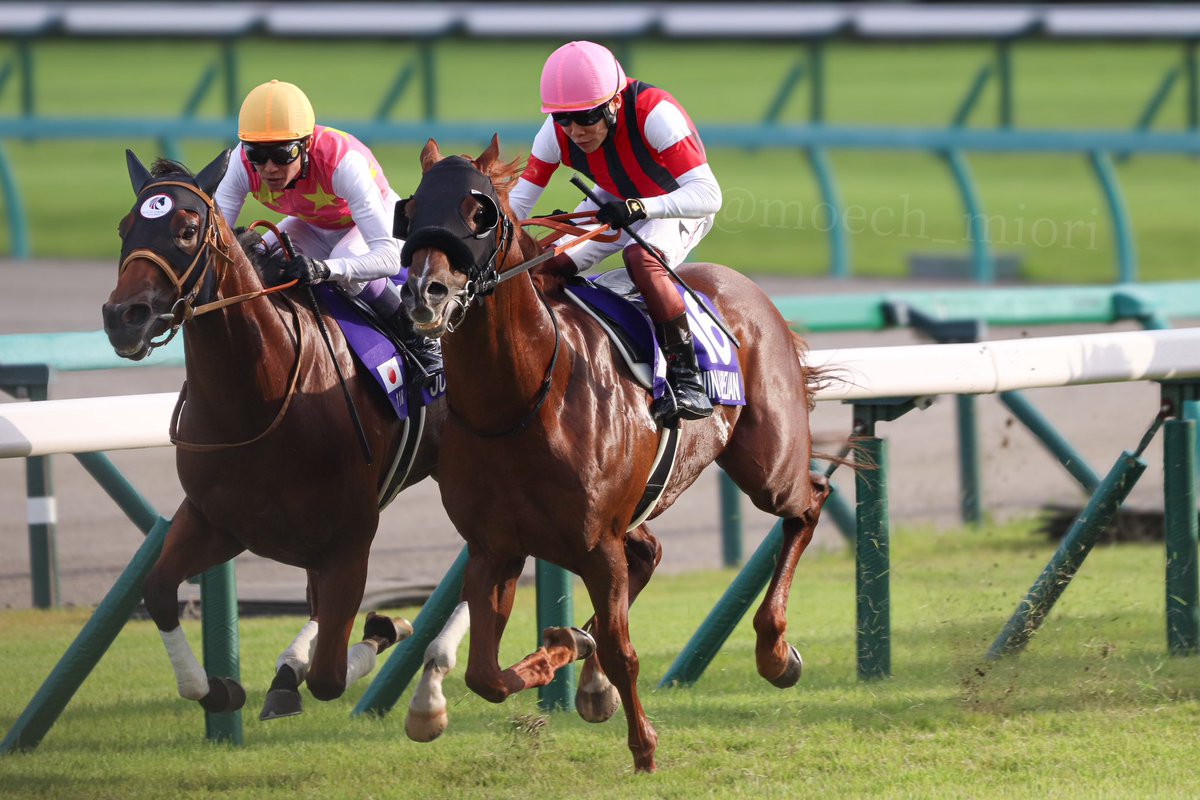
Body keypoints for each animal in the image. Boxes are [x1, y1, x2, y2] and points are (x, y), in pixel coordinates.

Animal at [101, 149, 445, 720]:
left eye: (187, 229)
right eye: (125, 226)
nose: (122, 318)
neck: (260, 401)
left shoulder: (350, 538)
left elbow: (330, 674)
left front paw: (385, 625)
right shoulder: (215, 519)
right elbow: (159, 591)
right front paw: (221, 687)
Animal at [397, 136, 830, 773]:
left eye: (481, 213)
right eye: (411, 210)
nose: (424, 293)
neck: (520, 401)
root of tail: (746, 288)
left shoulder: (597, 544)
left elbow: (623, 650)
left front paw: (644, 747)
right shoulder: (494, 547)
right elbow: (487, 676)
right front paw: (562, 649)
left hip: (768, 464)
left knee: (808, 503)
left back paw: (775, 651)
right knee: (648, 553)